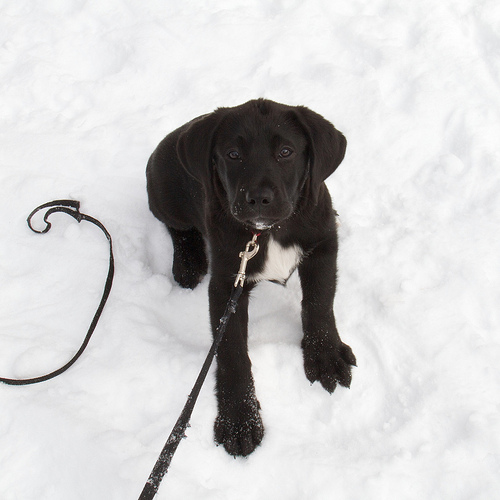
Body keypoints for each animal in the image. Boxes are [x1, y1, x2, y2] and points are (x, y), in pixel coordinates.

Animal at [145, 97, 356, 458]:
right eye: (233, 154)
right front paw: (239, 420)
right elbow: (231, 350)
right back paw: (188, 261)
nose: (258, 199)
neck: (268, 232)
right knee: (176, 226)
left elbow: (319, 302)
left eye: (286, 152)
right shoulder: (227, 282)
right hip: (164, 194)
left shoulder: (323, 245)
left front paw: (325, 355)